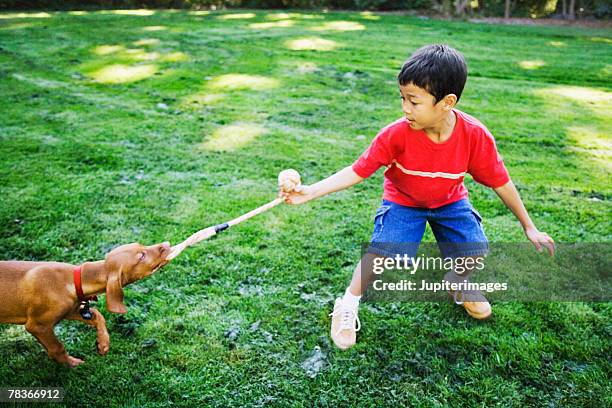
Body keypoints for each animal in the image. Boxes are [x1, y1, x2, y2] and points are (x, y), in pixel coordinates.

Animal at [0, 241, 171, 368]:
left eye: (141, 245)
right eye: (141, 256)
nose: (167, 243)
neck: (73, 279)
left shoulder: (72, 310)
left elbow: (98, 315)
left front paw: (103, 343)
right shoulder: (38, 325)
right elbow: (57, 347)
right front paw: (71, 363)